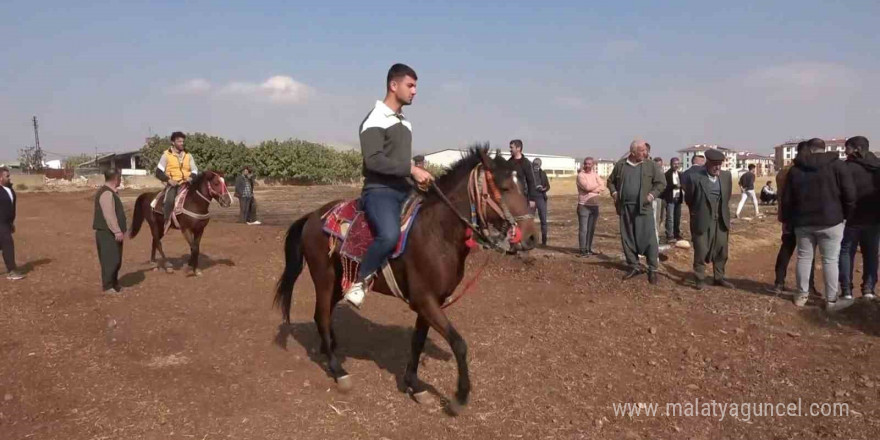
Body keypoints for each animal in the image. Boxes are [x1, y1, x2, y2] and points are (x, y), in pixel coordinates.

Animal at [276, 147, 536, 412]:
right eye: (504, 188)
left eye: (524, 186)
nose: (531, 237)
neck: (437, 232)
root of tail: (313, 216)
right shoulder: (424, 300)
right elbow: (459, 343)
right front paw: (460, 397)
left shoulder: (431, 302)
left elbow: (417, 341)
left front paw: (414, 385)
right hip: (324, 278)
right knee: (321, 314)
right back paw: (338, 371)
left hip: (340, 281)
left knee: (324, 314)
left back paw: (329, 347)